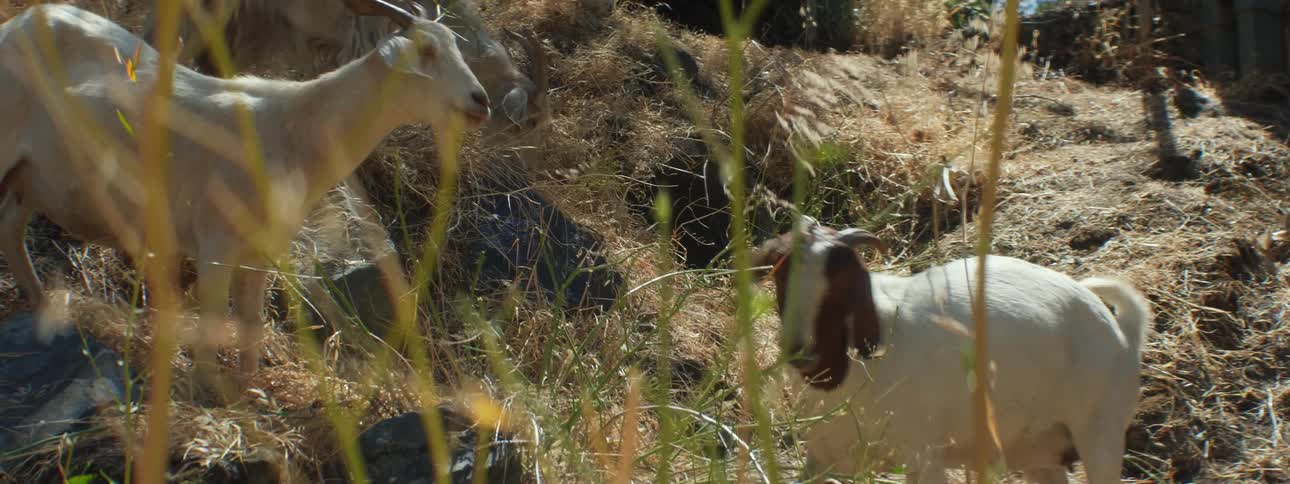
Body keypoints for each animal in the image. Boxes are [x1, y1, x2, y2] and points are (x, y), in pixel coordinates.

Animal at [0, 1, 489, 388]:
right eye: (426, 52)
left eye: (456, 46)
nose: (480, 100)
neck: (296, 129)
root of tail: (19, 22)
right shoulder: (214, 242)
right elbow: (215, 315)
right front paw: (206, 386)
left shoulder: (260, 252)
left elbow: (251, 320)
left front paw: (248, 386)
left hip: (28, 179)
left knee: (11, 230)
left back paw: (41, 305)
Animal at [752, 223, 1151, 483]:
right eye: (781, 278)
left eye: (840, 290)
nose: (804, 354)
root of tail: (1122, 333)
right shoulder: (822, 458)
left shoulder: (924, 456)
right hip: (1041, 449)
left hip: (1100, 431)